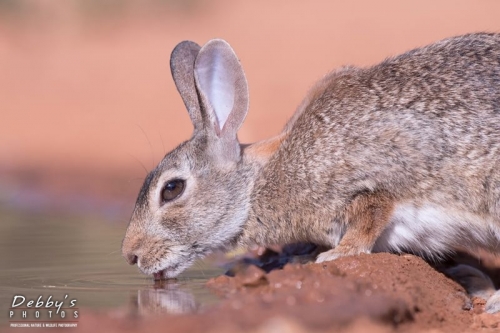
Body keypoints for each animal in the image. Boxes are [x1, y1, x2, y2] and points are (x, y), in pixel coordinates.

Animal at [121, 33, 500, 312]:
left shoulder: (373, 180)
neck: (256, 186)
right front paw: (298, 255)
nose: (130, 256)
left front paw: (336, 255)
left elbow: (370, 215)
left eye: (172, 189)